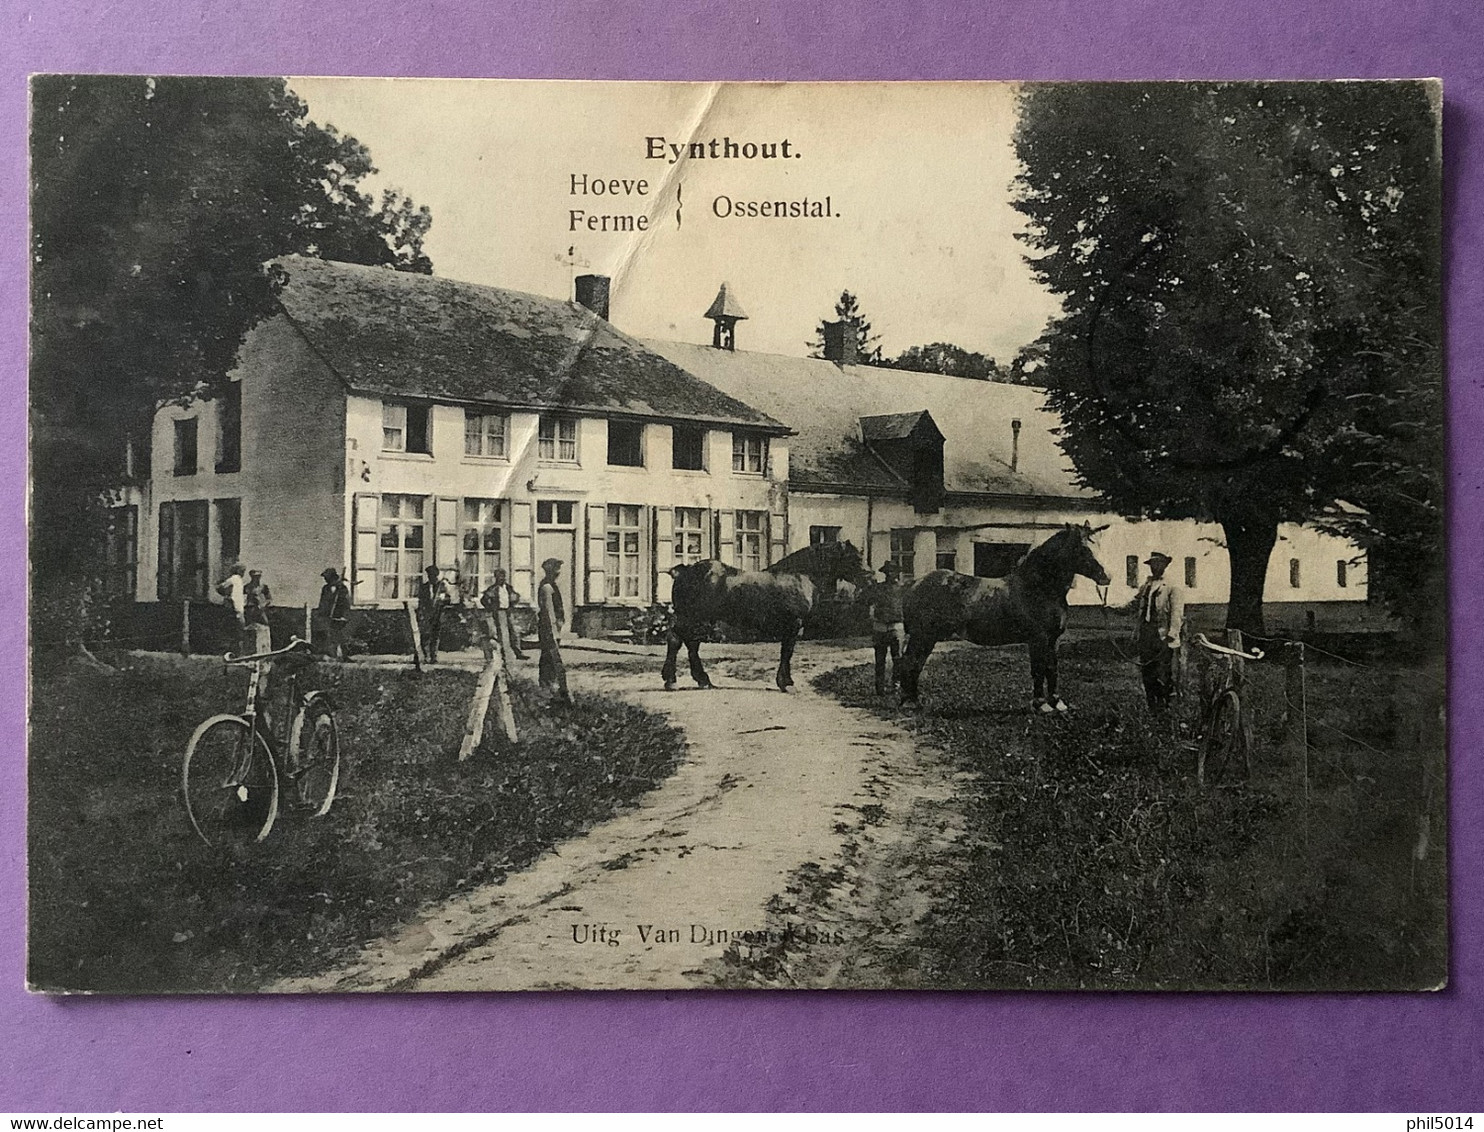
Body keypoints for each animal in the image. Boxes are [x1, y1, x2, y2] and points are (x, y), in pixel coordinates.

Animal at [661, 537, 866, 691]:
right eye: (854, 559)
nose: (869, 578)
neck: (799, 576)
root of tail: (684, 571)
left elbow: (786, 652)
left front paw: (785, 681)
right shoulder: (793, 624)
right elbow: (787, 652)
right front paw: (786, 683)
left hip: (697, 620)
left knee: (689, 643)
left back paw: (702, 680)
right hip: (693, 618)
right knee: (678, 640)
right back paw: (673, 680)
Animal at [890, 525, 1115, 718]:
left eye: (1099, 545)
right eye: (1082, 549)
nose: (1107, 576)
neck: (1039, 588)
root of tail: (914, 584)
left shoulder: (1053, 639)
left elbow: (1052, 669)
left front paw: (1057, 703)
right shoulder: (1038, 639)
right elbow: (1038, 669)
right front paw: (1040, 705)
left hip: (927, 638)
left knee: (916, 664)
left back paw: (914, 702)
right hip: (923, 636)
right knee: (911, 663)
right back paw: (909, 703)